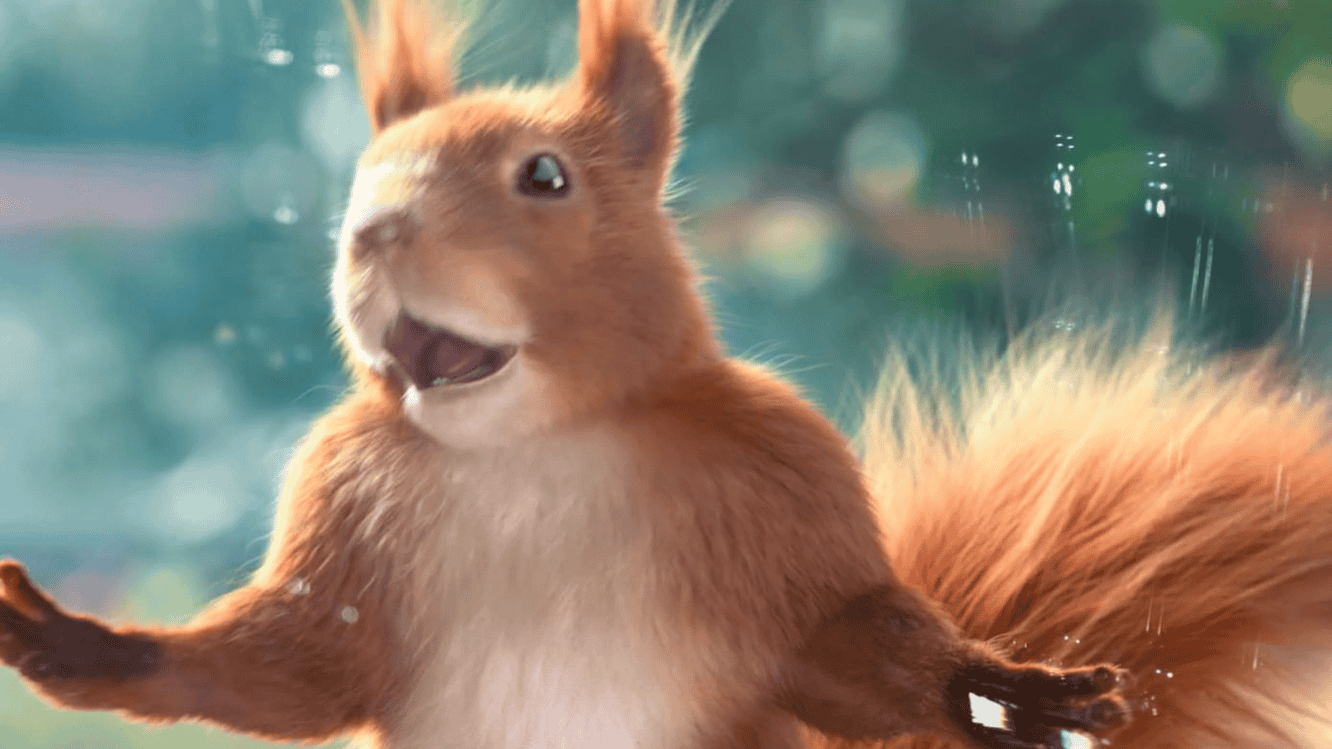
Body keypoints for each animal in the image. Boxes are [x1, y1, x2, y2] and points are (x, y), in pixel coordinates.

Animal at [1, 0, 1328, 747]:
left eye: (545, 176)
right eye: (362, 173)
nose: (370, 231)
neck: (533, 449)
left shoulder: (787, 480)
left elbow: (845, 647)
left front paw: (996, 689)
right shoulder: (343, 502)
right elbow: (299, 670)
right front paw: (85, 642)